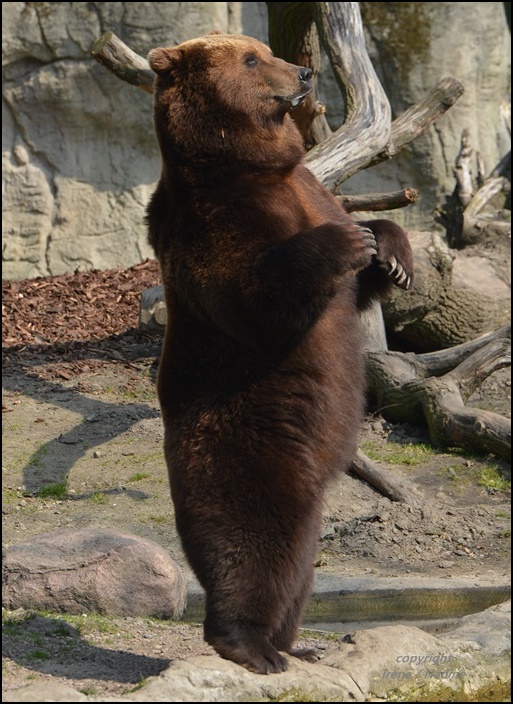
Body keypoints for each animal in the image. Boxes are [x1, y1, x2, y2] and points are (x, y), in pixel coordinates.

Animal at [144, 34, 412, 676]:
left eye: (263, 49)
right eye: (250, 59)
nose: (304, 72)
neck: (254, 165)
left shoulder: (309, 187)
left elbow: (360, 276)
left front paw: (389, 251)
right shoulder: (212, 222)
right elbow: (254, 297)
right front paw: (346, 242)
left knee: (300, 551)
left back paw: (298, 642)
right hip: (253, 434)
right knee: (256, 534)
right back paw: (252, 646)